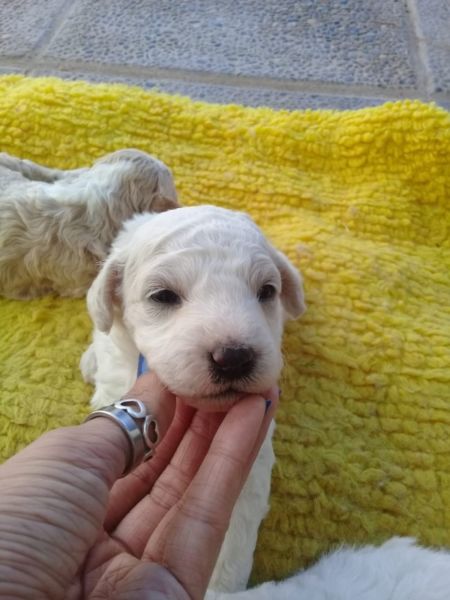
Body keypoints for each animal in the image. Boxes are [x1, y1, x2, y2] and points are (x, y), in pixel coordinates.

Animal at [81, 205, 306, 592]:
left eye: (267, 291)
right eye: (163, 296)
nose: (234, 357)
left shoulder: (255, 449)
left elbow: (237, 525)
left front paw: (222, 588)